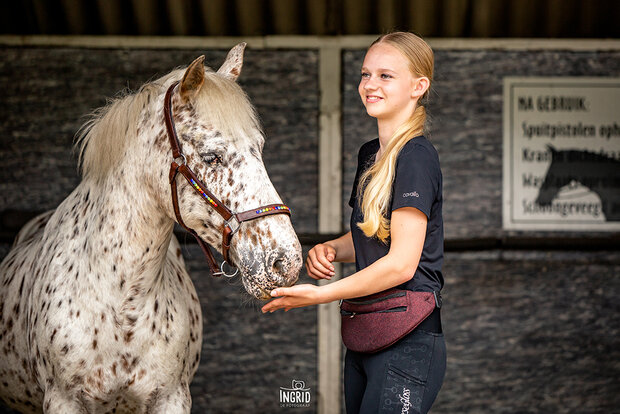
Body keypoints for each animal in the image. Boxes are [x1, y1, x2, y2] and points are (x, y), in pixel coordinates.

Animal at [0, 43, 302, 412]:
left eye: (258, 148)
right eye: (212, 156)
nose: (286, 261)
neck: (122, 305)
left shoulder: (171, 398)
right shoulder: (63, 399)